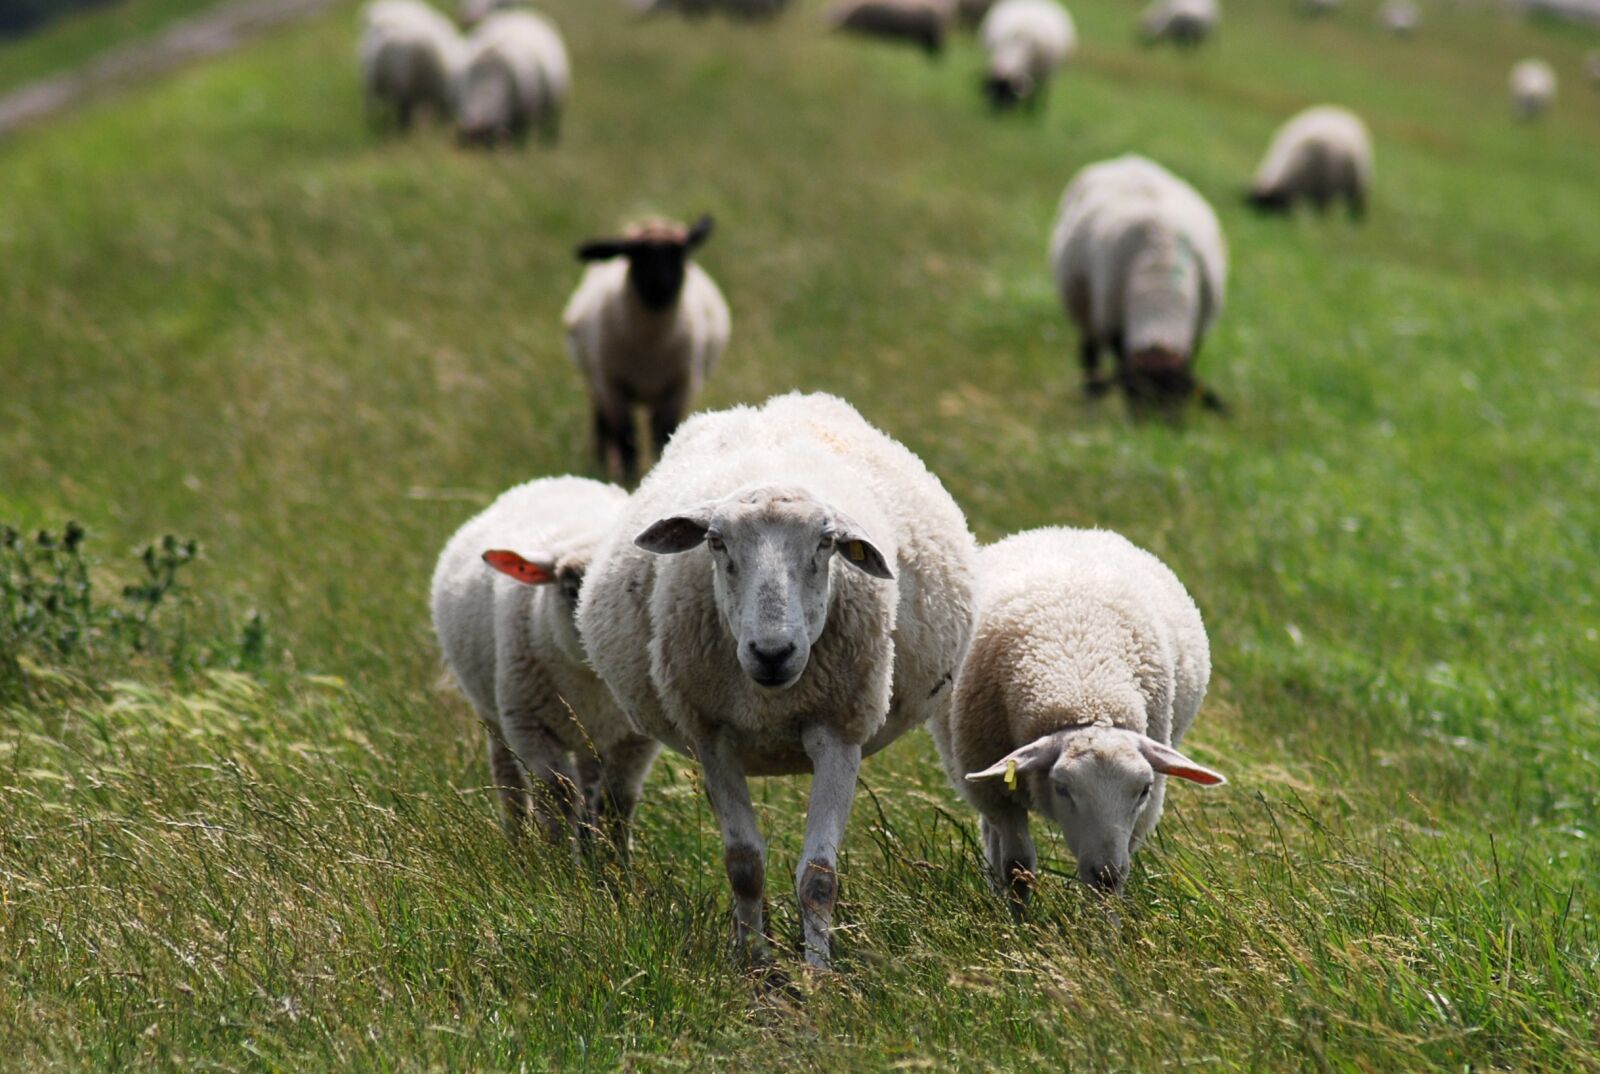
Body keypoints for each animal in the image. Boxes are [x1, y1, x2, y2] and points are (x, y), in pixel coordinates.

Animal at [431, 476, 661, 850]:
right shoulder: (528, 723)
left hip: (590, 734)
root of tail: (558, 480)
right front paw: (559, 859)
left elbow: (618, 801)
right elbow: (558, 794)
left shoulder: (636, 736)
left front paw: (615, 862)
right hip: (494, 712)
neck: (591, 681)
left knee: (590, 786)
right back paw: (520, 845)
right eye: (569, 585)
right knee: (511, 779)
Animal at [563, 216, 730, 488]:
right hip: (597, 380)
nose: (661, 286)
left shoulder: (679, 387)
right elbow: (626, 439)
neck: (651, 344)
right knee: (602, 424)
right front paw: (628, 480)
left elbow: (664, 434)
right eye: (636, 254)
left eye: (679, 253)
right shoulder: (613, 386)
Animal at [578, 392, 978, 968]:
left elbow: (819, 877)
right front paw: (753, 962)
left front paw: (817, 972)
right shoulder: (712, 737)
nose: (773, 653)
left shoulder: (840, 734)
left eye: (827, 543)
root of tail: (774, 403)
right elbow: (744, 865)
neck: (769, 699)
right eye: (715, 542)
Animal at [932, 527, 1226, 907]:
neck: (1085, 689)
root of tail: (1068, 530)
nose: (1106, 876)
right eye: (1062, 787)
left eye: (1144, 789)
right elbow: (1016, 869)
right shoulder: (998, 795)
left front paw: (1105, 922)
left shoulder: (1138, 819)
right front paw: (1020, 921)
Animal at [1049, 153, 1229, 413]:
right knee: (1089, 355)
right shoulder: (1112, 324)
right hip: (1086, 312)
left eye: (1180, 396)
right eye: (1134, 394)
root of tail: (1126, 158)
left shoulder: (1197, 332)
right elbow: (1118, 361)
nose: (1157, 425)